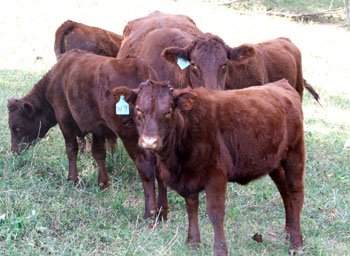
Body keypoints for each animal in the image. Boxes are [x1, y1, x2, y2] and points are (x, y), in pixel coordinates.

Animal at [6, 50, 168, 220]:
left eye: (17, 127)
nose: (14, 150)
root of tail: (140, 65)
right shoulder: (98, 127)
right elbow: (99, 153)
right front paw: (103, 183)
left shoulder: (64, 120)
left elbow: (71, 149)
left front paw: (73, 179)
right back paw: (162, 211)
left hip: (130, 135)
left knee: (145, 166)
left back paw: (150, 212)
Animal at [113, 79, 306, 255]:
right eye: (139, 109)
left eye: (167, 112)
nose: (149, 141)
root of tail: (281, 83)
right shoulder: (188, 178)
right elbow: (191, 207)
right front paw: (192, 242)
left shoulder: (216, 174)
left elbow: (215, 212)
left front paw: (220, 249)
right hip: (274, 162)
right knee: (284, 191)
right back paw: (288, 231)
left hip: (295, 154)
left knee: (295, 194)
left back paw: (296, 243)